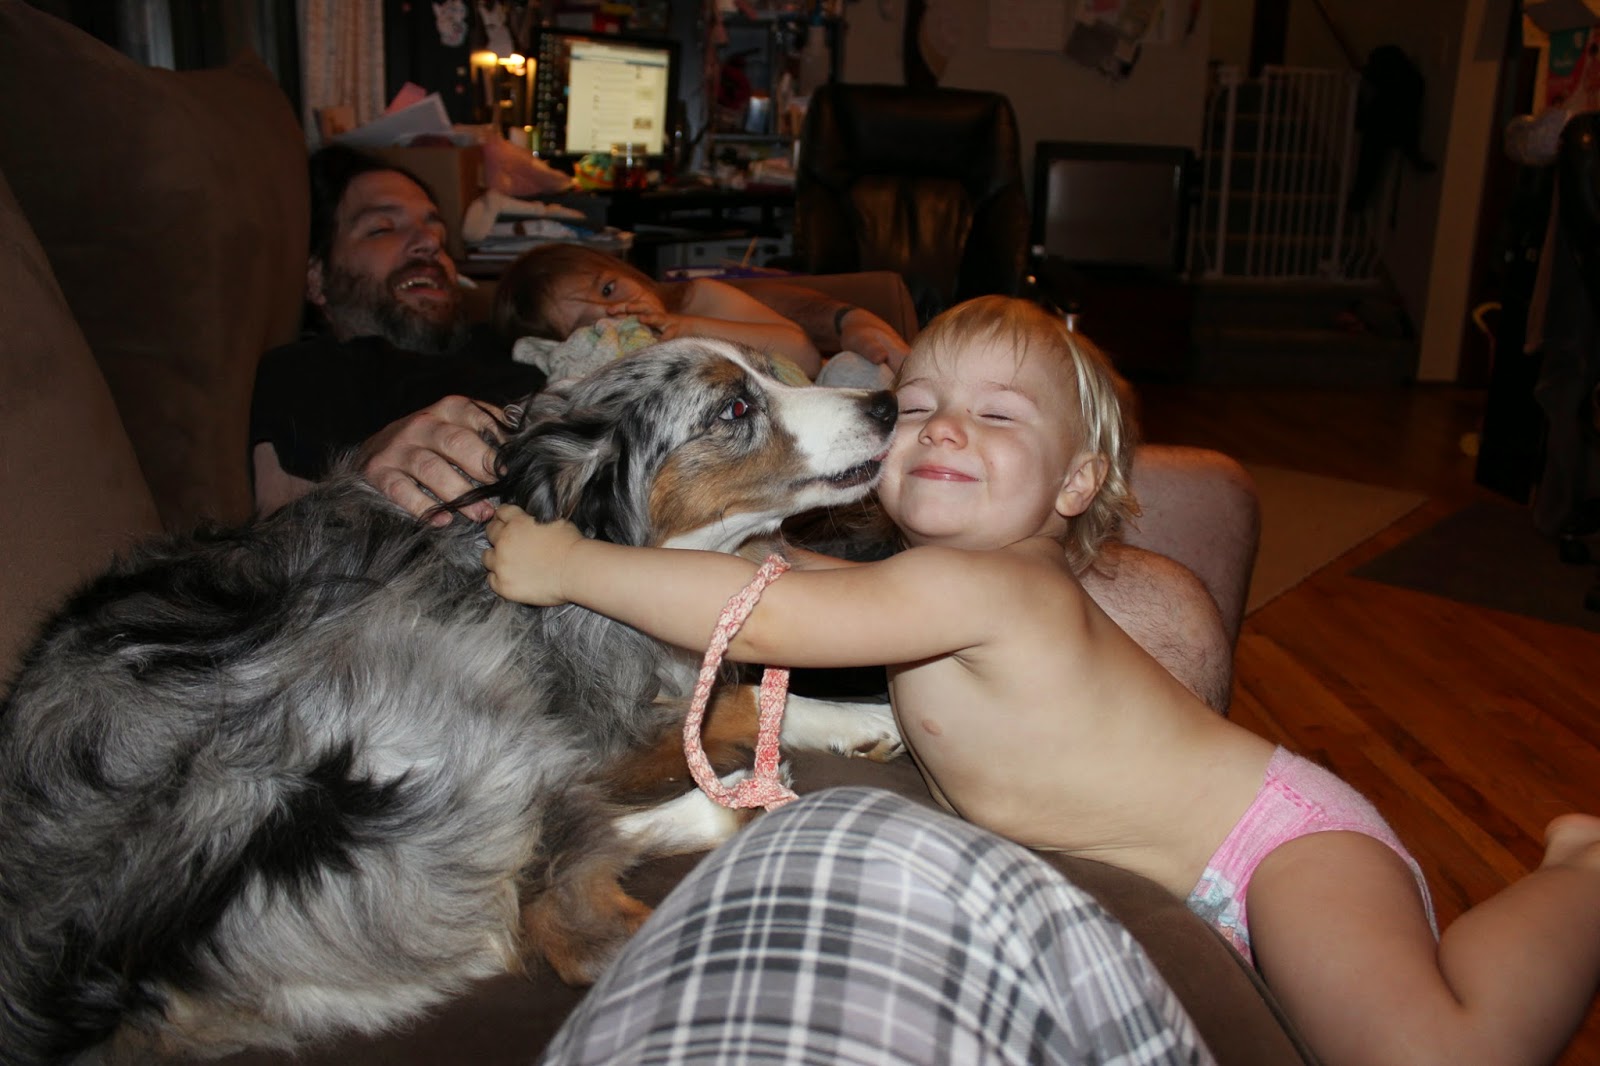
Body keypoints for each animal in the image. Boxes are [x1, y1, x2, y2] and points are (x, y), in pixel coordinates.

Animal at [0, 338, 901, 1064]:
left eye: (766, 374)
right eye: (735, 408)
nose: (888, 403)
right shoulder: (569, 703)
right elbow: (721, 703)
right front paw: (865, 716)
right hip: (422, 698)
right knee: (562, 914)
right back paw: (717, 826)